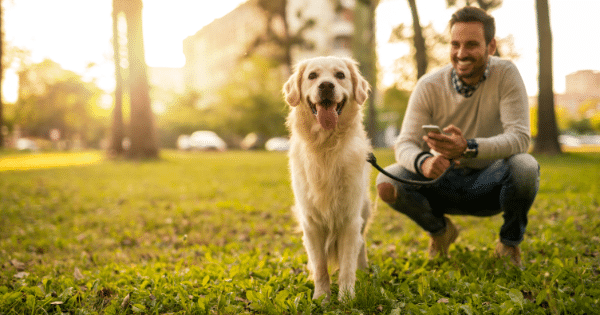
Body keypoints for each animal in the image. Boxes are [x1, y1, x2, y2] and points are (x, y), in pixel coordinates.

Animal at [284, 56, 372, 302]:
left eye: (340, 75)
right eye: (312, 76)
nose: (325, 86)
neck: (325, 147)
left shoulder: (350, 220)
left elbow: (347, 266)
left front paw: (346, 298)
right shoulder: (311, 223)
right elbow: (321, 266)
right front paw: (321, 298)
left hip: (364, 210)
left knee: (361, 244)